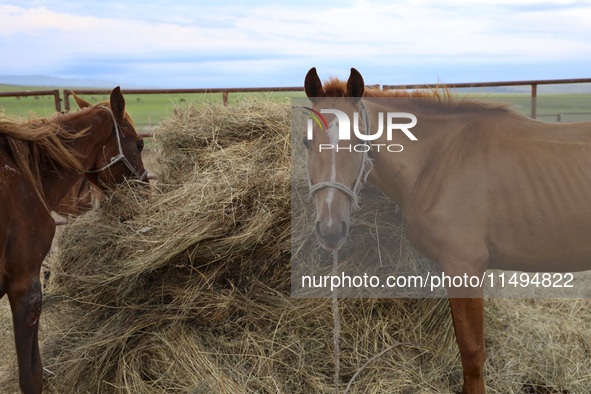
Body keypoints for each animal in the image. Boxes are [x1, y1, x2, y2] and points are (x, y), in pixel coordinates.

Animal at [302, 67, 591, 390]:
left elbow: (472, 351)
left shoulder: (465, 267)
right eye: (306, 143)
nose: (330, 228)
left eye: (359, 142)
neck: (438, 160)